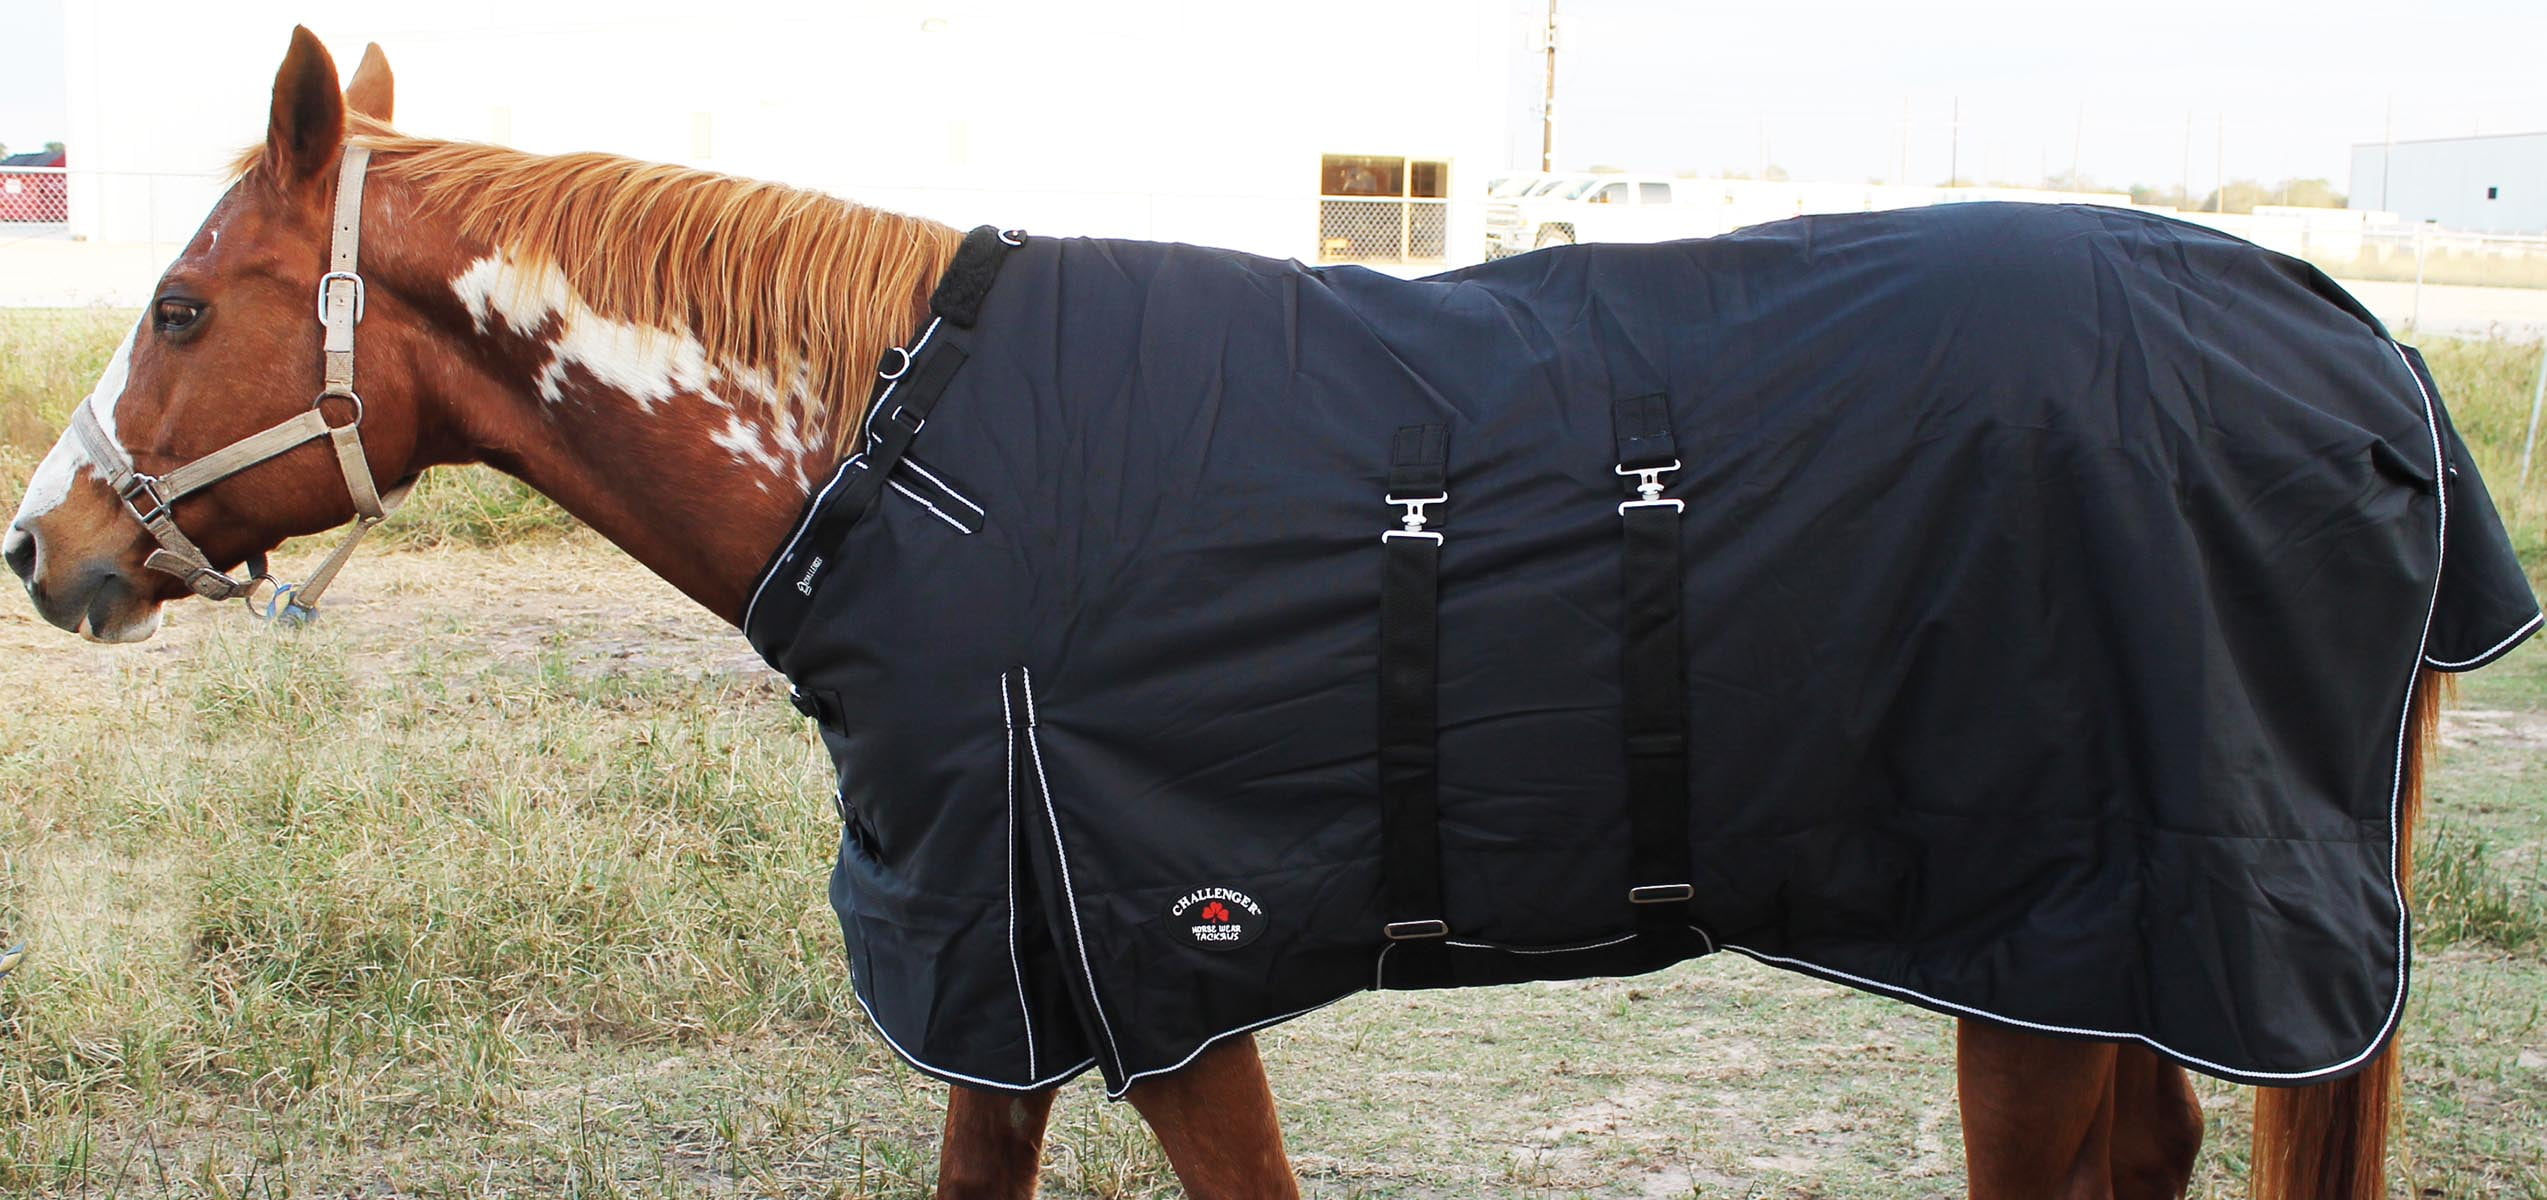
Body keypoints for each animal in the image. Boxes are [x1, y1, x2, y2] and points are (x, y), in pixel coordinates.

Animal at [3, 29, 2466, 1200]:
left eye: (181, 303)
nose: (48, 550)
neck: (896, 452)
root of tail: (2357, 350)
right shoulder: (1003, 988)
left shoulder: (1155, 972)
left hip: (2037, 961)